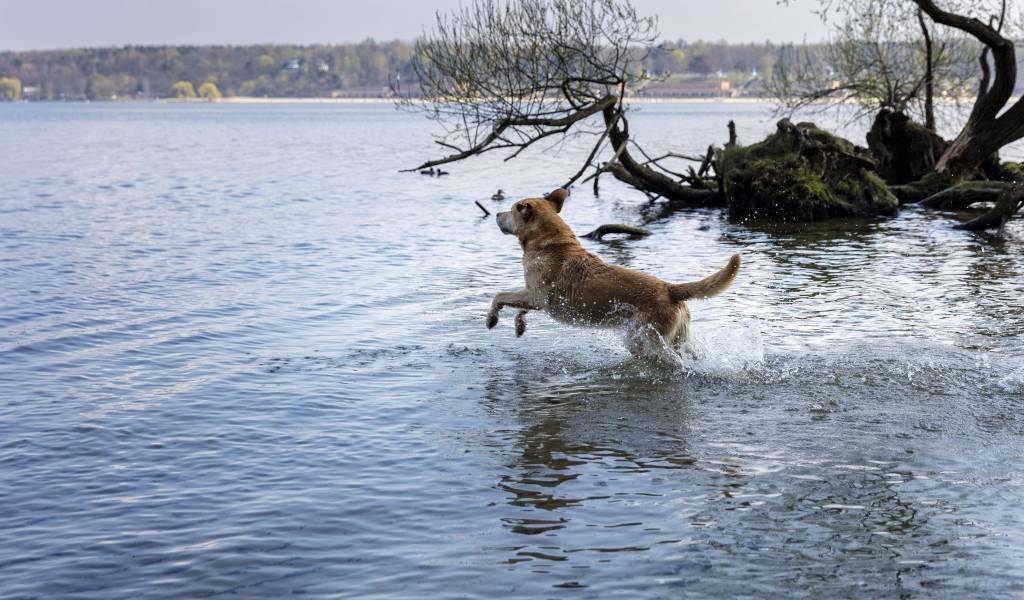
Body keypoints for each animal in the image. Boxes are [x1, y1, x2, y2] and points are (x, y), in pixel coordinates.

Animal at [483, 186, 741, 358]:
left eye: (511, 210)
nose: (496, 214)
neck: (549, 242)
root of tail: (670, 289)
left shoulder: (536, 296)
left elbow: (499, 296)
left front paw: (492, 319)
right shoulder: (533, 296)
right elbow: (518, 306)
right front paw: (519, 325)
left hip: (644, 339)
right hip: (680, 338)